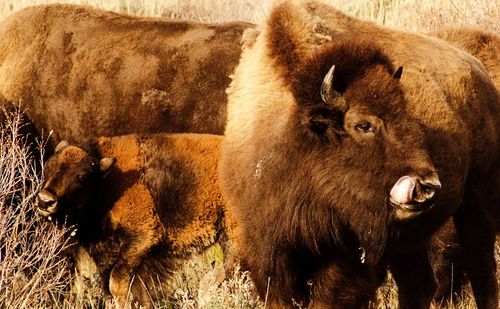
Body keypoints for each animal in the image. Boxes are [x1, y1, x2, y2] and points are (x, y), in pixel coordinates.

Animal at [36, 132, 228, 306]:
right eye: (48, 167)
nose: (45, 200)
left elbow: (117, 284)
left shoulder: (142, 239)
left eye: (82, 177)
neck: (106, 182)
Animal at [220, 1, 500, 306]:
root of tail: (481, 75)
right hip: (411, 239)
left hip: (477, 205)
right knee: (419, 284)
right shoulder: (268, 251)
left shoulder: (348, 257)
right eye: (363, 124)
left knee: (482, 271)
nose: (428, 187)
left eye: (407, 112)